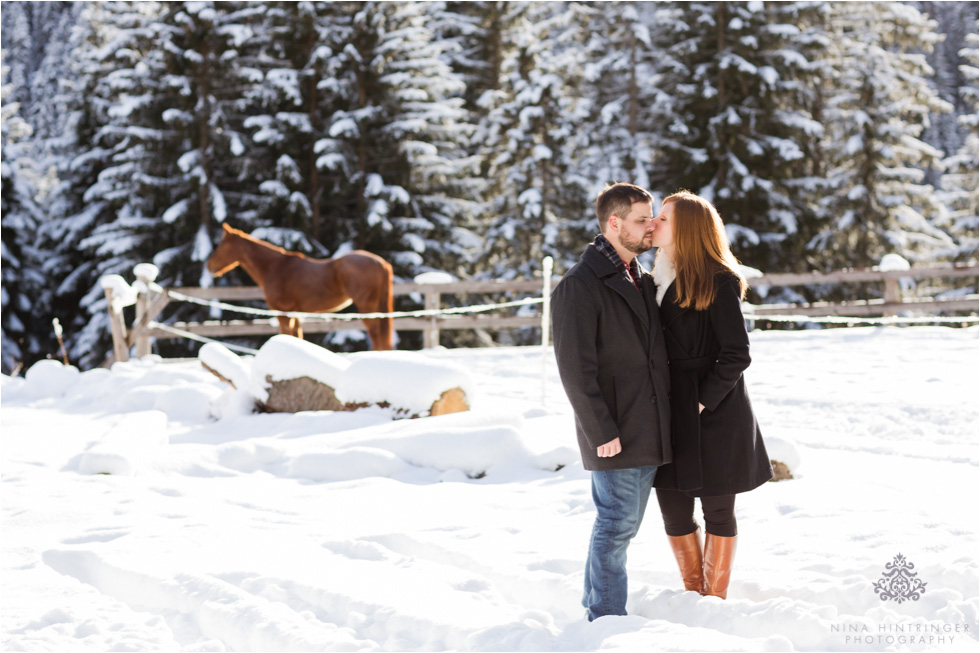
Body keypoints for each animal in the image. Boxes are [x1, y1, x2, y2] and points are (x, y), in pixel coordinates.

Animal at [208, 223, 394, 348]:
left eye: (222, 245)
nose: (209, 266)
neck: (275, 268)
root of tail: (381, 263)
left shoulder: (282, 313)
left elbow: (286, 335)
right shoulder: (295, 313)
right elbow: (297, 337)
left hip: (367, 307)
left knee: (376, 335)